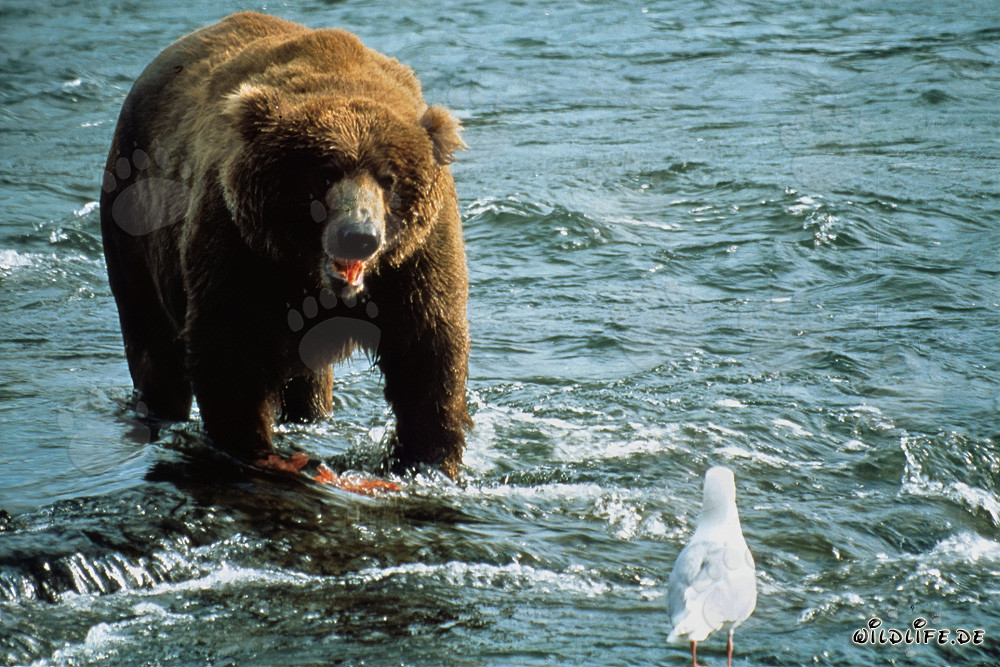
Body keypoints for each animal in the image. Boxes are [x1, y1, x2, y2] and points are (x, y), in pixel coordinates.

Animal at [100, 12, 472, 478]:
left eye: (389, 179)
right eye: (325, 174)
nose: (358, 236)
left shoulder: (415, 261)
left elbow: (428, 353)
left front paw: (429, 458)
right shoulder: (242, 249)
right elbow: (230, 352)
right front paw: (255, 449)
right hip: (133, 222)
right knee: (153, 346)